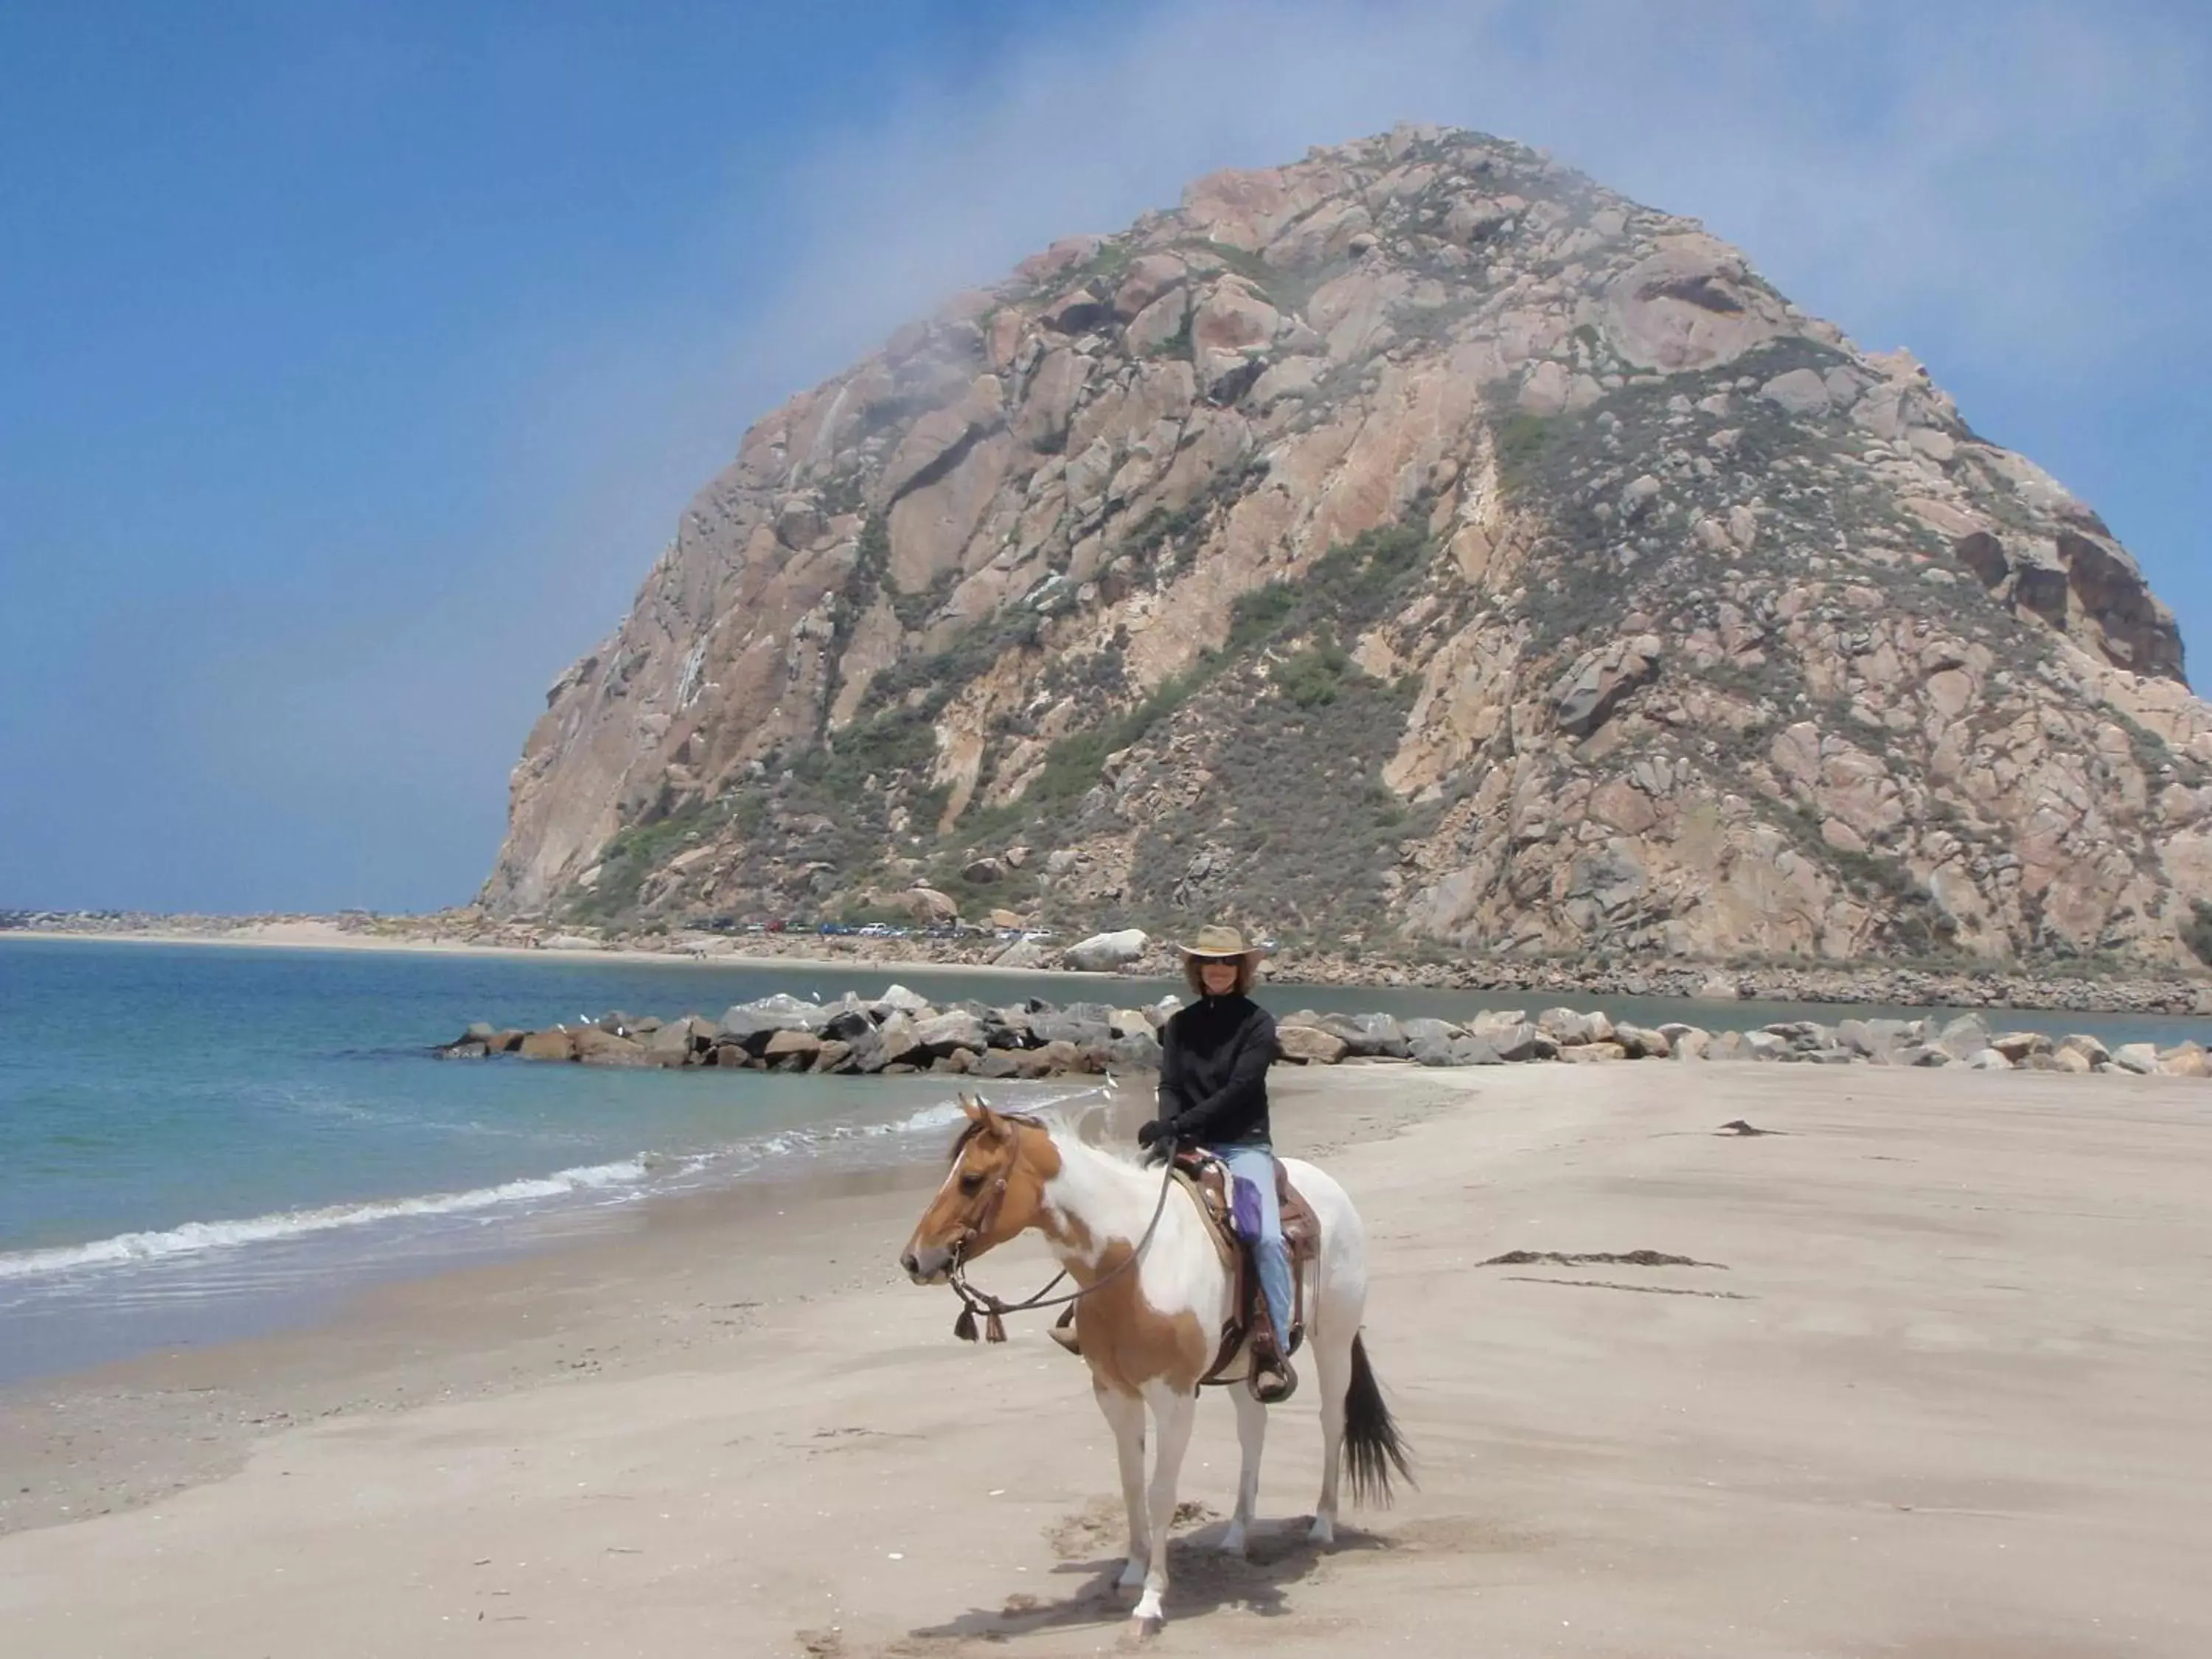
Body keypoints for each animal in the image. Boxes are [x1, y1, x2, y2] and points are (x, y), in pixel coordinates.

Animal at [894, 1097, 1398, 1628]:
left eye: (971, 1179)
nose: (914, 1260)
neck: (1136, 1262)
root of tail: (1330, 1190)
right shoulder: (1114, 1393)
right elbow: (1132, 1482)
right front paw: (1133, 1573)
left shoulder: (1173, 1397)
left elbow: (1161, 1492)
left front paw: (1153, 1598)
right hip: (1243, 1364)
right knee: (1253, 1431)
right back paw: (1236, 1537)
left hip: (1334, 1341)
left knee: (1331, 1421)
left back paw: (1322, 1525)